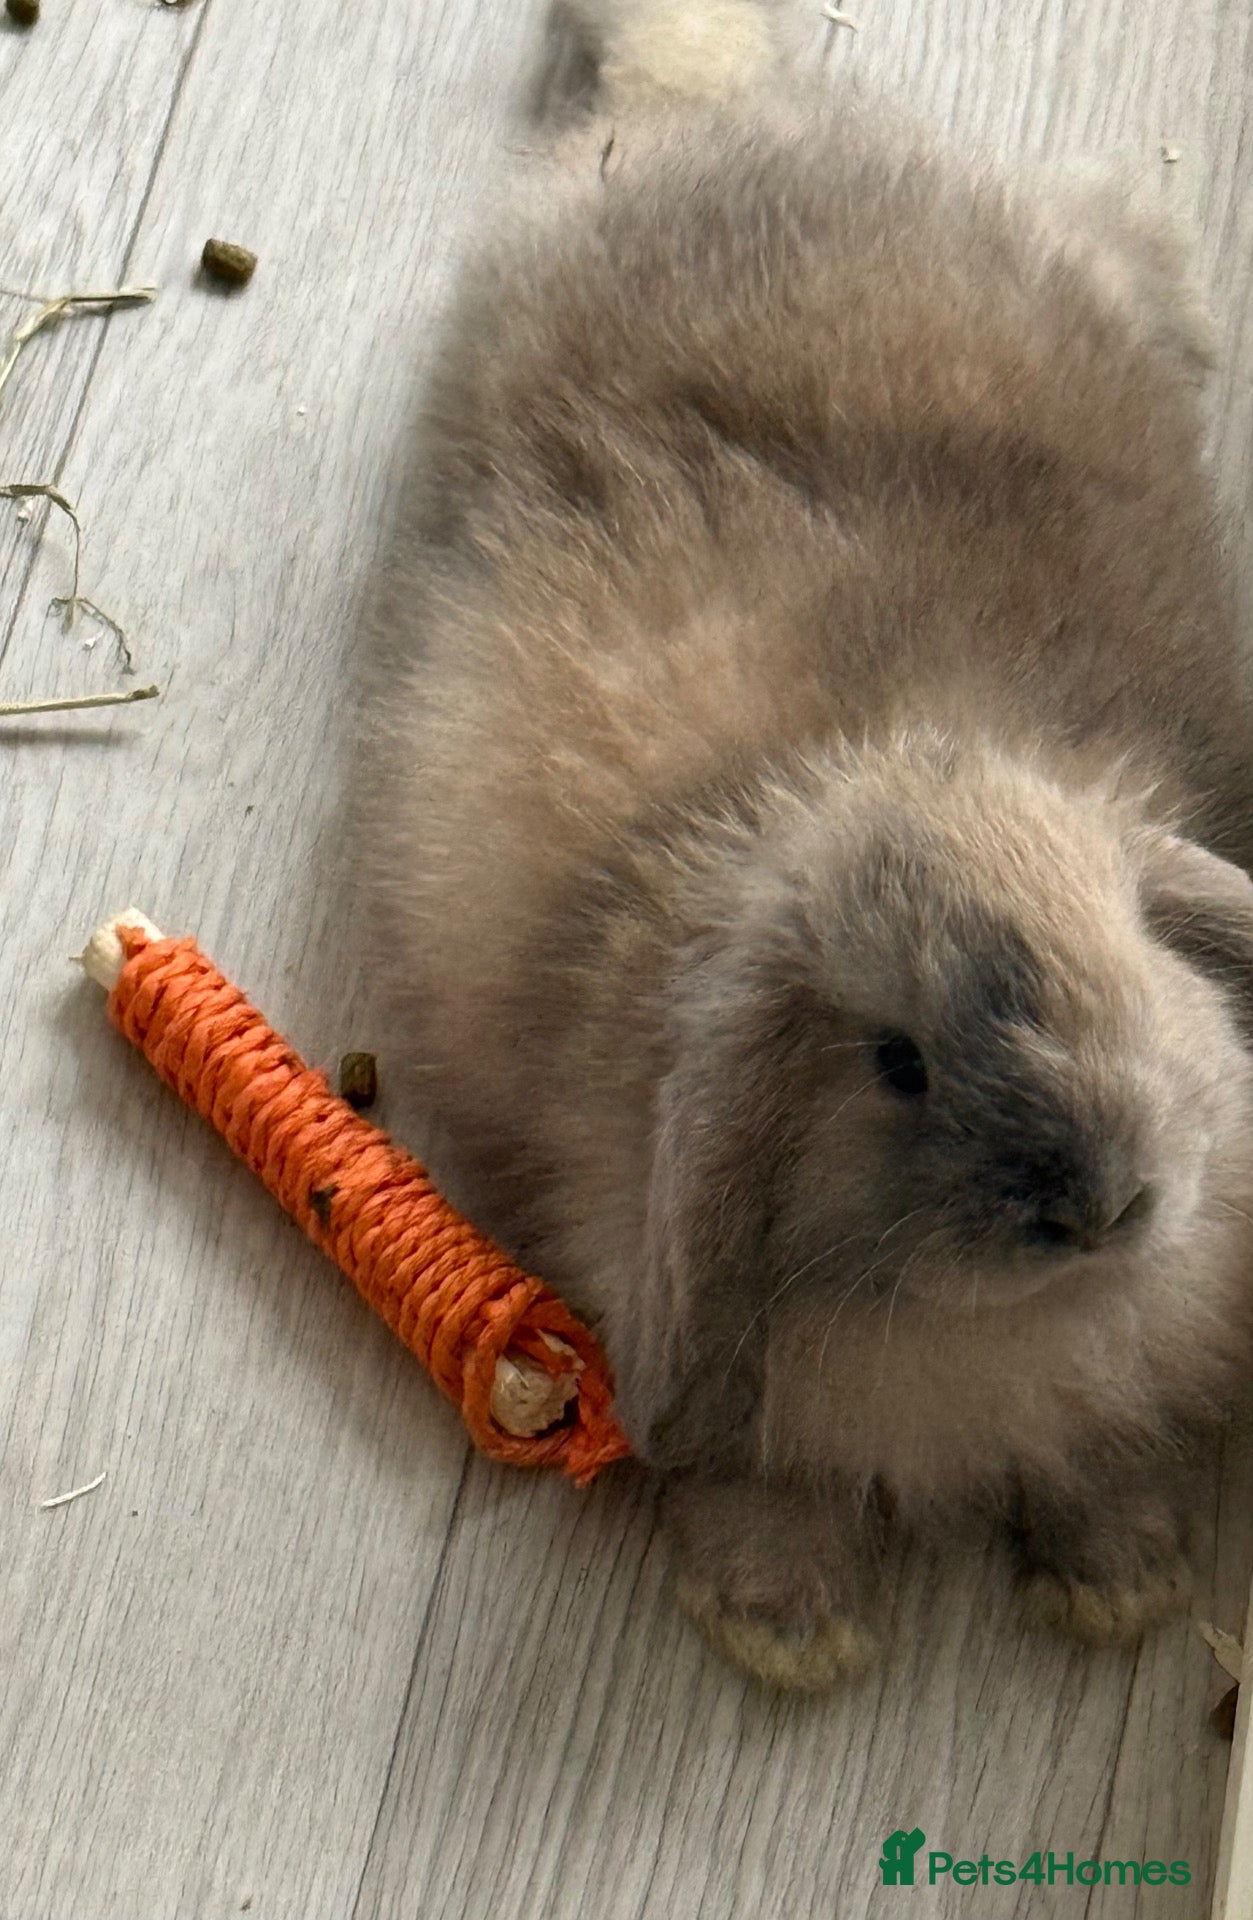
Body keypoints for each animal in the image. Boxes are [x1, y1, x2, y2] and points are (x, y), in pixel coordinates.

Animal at [359, 0, 1253, 1688]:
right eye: (894, 1063)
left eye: (1136, 961)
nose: (1105, 1203)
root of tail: (698, 112)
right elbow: (752, 1486)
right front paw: (792, 1635)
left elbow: (1111, 1457)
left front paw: (1119, 1584)